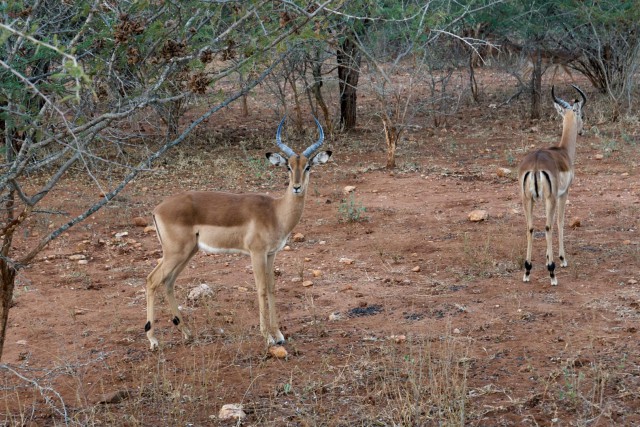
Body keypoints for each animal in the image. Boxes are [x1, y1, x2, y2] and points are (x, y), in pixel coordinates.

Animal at [146, 117, 332, 352]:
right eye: (288, 167)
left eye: (308, 166)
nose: (297, 187)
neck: (275, 212)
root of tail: (157, 209)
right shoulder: (256, 253)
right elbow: (261, 289)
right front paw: (267, 337)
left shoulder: (271, 254)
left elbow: (272, 288)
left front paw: (279, 334)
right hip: (175, 253)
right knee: (152, 280)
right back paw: (153, 339)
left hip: (187, 253)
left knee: (168, 282)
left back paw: (186, 332)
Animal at [516, 85, 588, 286]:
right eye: (582, 115)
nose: (582, 131)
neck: (563, 151)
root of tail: (535, 165)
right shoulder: (563, 194)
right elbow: (559, 222)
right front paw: (562, 259)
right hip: (549, 198)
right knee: (548, 226)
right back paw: (552, 273)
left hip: (527, 199)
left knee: (530, 227)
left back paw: (527, 270)